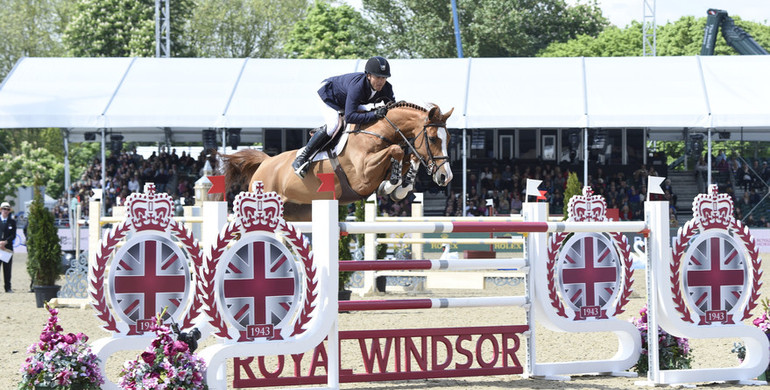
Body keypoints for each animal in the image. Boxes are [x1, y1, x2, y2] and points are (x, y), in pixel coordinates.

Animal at [219, 102, 452, 221]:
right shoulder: (362, 176)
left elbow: (407, 157)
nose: (445, 177)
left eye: (449, 138)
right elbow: (396, 151)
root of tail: (266, 162)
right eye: (433, 138)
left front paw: (398, 187)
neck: (379, 132)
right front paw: (391, 184)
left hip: (298, 212)